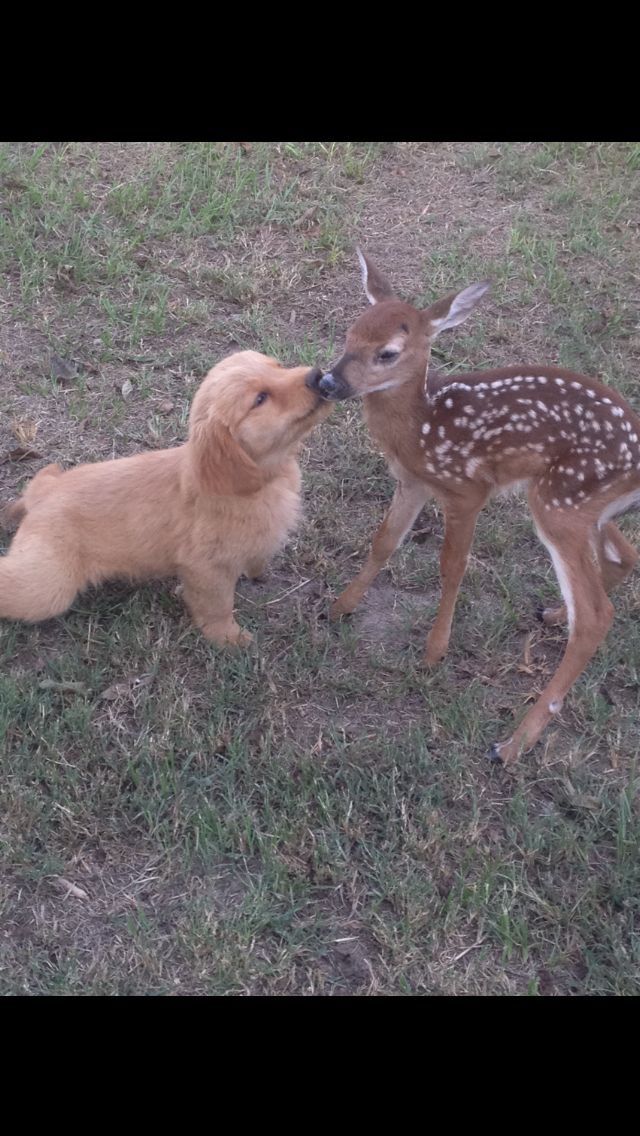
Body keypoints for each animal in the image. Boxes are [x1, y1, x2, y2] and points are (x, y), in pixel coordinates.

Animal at [305, 249, 640, 766]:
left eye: (387, 353)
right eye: (349, 334)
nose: (327, 382)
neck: (420, 428)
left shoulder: (467, 490)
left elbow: (452, 565)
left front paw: (433, 652)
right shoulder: (412, 482)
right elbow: (384, 542)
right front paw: (340, 607)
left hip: (561, 502)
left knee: (596, 615)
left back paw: (514, 744)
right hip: (584, 506)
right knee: (623, 556)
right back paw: (553, 615)